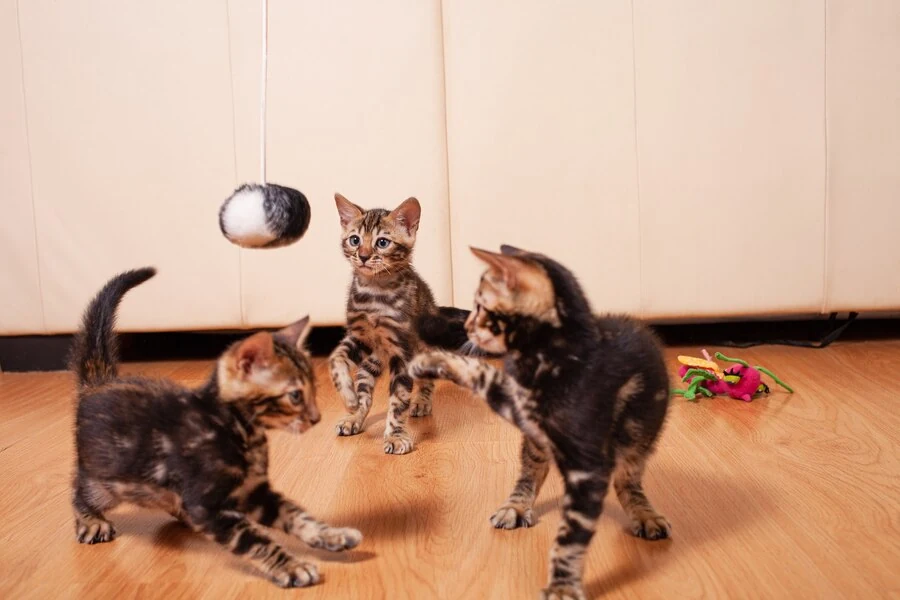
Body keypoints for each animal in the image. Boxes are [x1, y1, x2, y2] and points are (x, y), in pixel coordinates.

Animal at [73, 268, 362, 584]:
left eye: (314, 389)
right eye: (295, 396)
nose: (316, 417)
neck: (239, 430)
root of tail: (100, 382)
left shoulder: (253, 491)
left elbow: (295, 514)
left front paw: (331, 535)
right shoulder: (208, 504)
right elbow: (254, 541)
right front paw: (291, 566)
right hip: (105, 479)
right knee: (81, 490)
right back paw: (91, 520)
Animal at [330, 195, 472, 452]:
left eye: (382, 242)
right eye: (355, 240)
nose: (363, 256)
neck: (375, 293)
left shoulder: (402, 351)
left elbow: (398, 399)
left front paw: (395, 435)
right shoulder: (361, 337)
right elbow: (336, 358)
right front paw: (348, 397)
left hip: (422, 351)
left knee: (427, 380)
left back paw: (421, 402)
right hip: (372, 360)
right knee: (365, 389)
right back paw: (355, 416)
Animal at [412, 245, 672, 600]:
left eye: (480, 305)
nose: (465, 325)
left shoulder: (589, 469)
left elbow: (571, 538)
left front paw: (562, 586)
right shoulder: (519, 404)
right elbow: (479, 373)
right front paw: (431, 359)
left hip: (640, 436)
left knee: (627, 479)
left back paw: (644, 513)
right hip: (537, 440)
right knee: (531, 471)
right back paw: (516, 506)